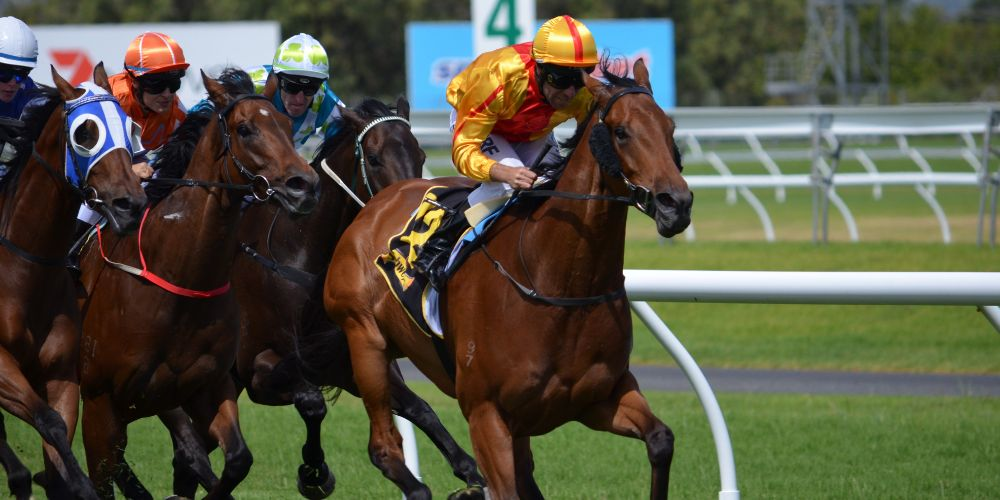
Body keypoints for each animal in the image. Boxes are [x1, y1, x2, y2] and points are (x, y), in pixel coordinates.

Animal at [0, 63, 146, 500]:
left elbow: (59, 431)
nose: (130, 204)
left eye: (131, 127)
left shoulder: (61, 373)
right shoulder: (2, 366)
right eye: (85, 133)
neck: (24, 273)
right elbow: (48, 421)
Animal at [76, 69, 319, 499]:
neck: (179, 279)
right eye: (245, 129)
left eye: (289, 127)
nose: (303, 185)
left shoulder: (207, 387)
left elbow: (236, 460)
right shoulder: (105, 401)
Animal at [322, 58, 691, 499]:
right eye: (622, 132)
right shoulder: (486, 413)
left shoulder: (600, 397)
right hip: (365, 342)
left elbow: (661, 440)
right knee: (384, 448)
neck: (558, 283)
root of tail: (374, 204)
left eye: (670, 128)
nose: (677, 204)